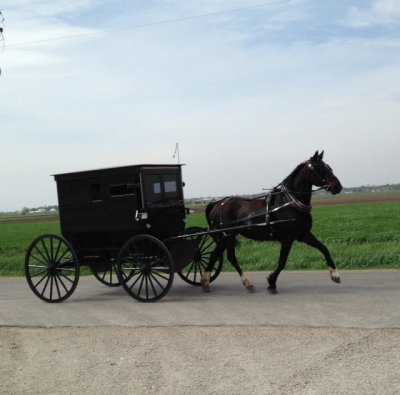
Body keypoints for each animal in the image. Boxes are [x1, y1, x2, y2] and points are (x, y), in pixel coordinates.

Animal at [202, 152, 342, 294]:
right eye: (320, 168)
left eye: (329, 167)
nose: (337, 186)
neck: (290, 203)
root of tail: (217, 203)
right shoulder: (288, 238)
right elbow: (282, 262)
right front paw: (272, 283)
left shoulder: (304, 235)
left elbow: (324, 249)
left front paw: (335, 275)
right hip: (227, 236)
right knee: (226, 257)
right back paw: (240, 282)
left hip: (226, 237)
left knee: (218, 256)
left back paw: (211, 282)